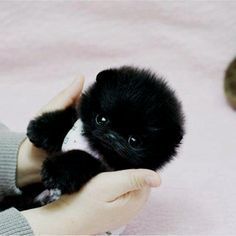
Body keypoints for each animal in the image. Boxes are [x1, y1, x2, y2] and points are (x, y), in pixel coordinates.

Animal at [0, 66, 184, 210]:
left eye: (134, 141)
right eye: (101, 119)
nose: (112, 136)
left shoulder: (105, 167)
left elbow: (80, 157)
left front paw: (55, 171)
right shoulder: (76, 123)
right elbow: (68, 118)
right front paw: (41, 128)